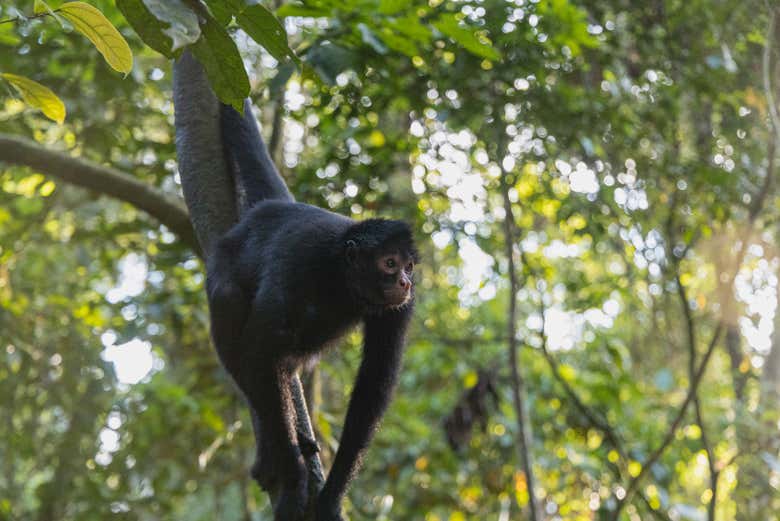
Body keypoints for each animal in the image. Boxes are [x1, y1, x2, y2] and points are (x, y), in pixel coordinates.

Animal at [204, 98, 418, 520]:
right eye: (389, 263)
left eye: (408, 266)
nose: (404, 282)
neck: (340, 277)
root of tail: (274, 207)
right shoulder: (299, 264)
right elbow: (258, 350)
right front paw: (293, 480)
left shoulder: (400, 307)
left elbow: (373, 384)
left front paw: (332, 496)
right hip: (226, 255)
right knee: (230, 304)